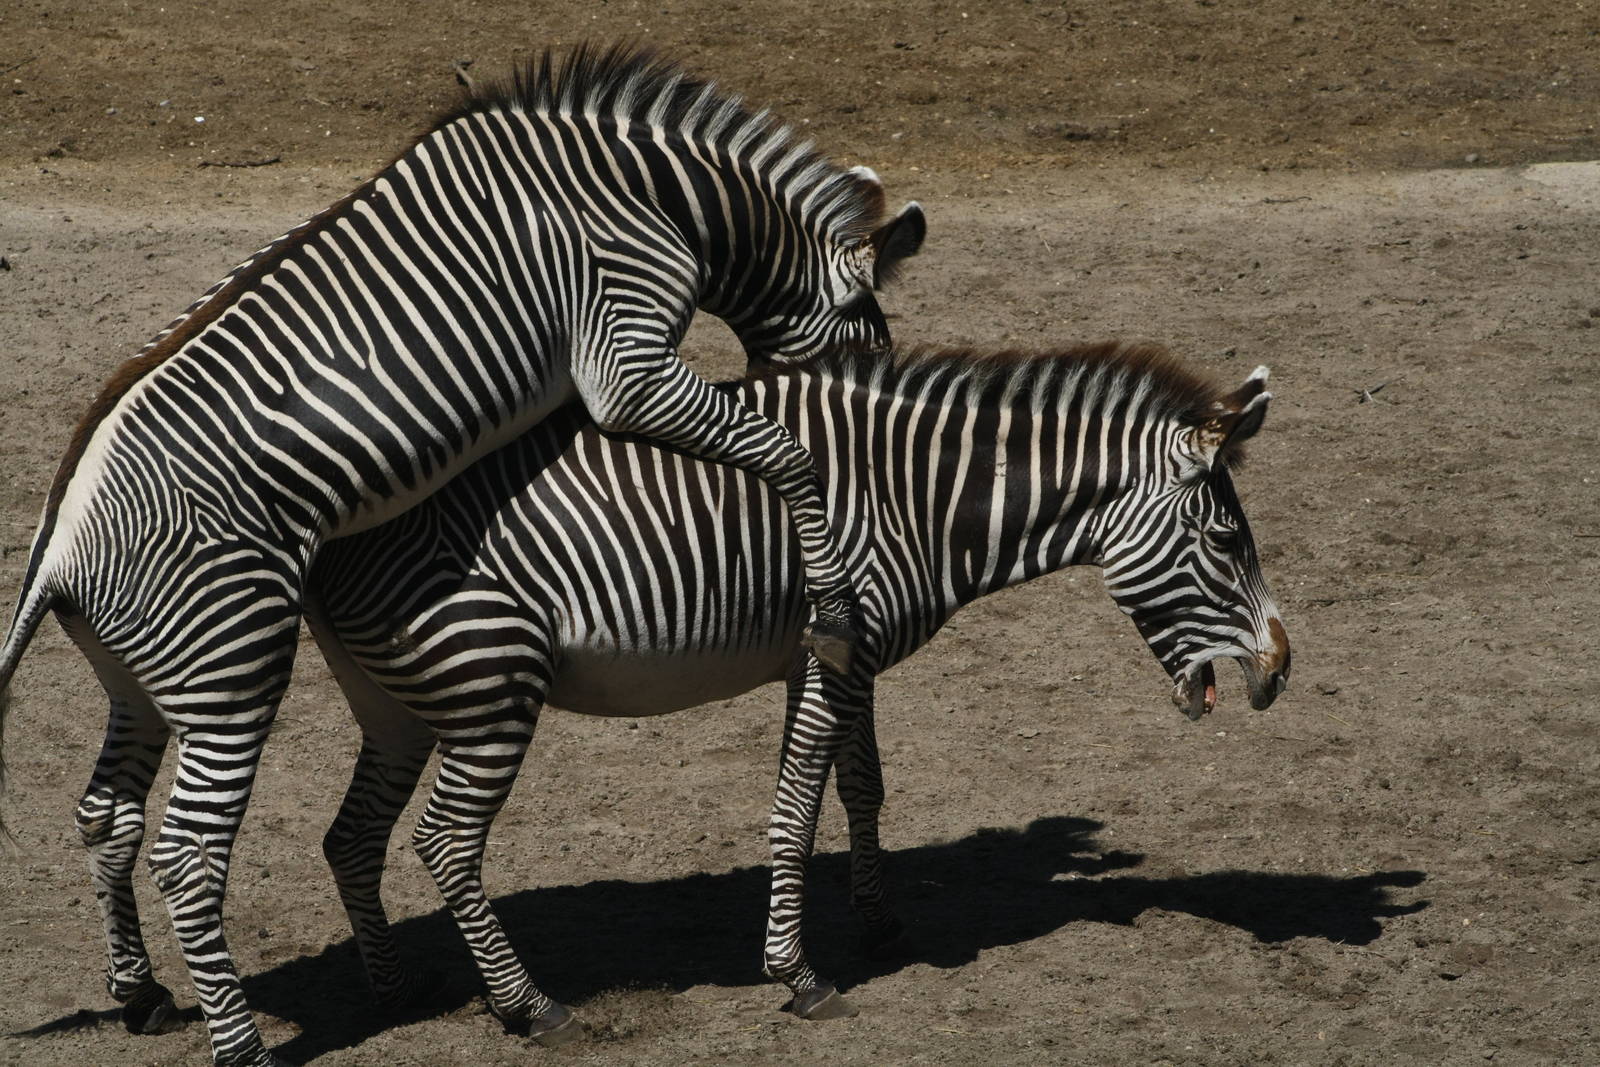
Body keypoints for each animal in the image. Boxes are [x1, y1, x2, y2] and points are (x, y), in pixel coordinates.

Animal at [0, 46, 923, 1067]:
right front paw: (831, 592)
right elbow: (785, 454)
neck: (662, 193)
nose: (875, 409)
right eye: (872, 339)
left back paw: (142, 993)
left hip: (140, 679)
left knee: (106, 815)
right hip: (232, 667)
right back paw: (243, 1046)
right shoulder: (626, 361)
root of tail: (58, 548)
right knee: (190, 855)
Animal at [303, 340, 1294, 1042]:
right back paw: (530, 1006)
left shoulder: (842, 659)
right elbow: (794, 809)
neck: (911, 499)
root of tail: (334, 538)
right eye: (1222, 539)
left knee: (350, 836)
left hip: (397, 706)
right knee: (443, 842)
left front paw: (881, 920)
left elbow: (863, 784)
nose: (1281, 670)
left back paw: (397, 988)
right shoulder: (830, 659)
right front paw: (799, 974)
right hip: (492, 686)